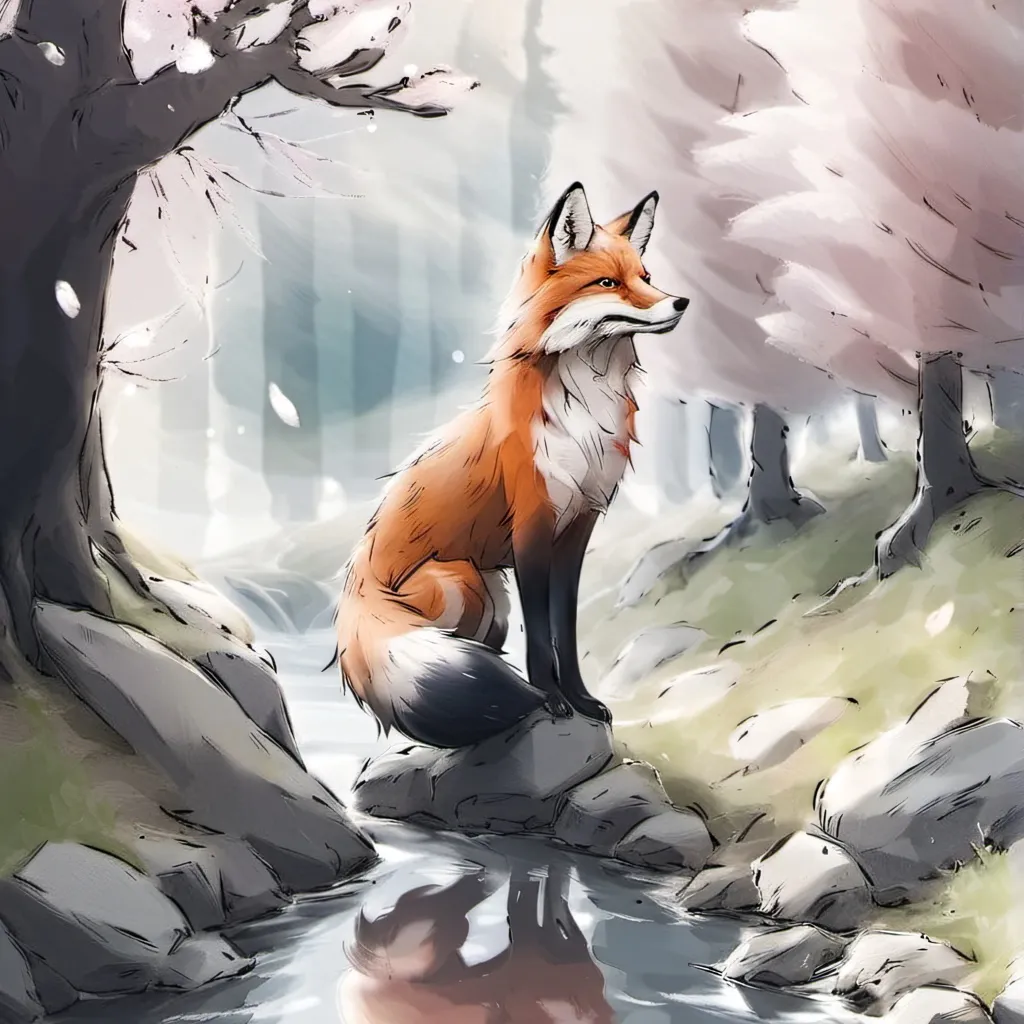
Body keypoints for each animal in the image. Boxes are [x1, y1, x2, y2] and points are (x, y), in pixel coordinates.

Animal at [336, 181, 689, 748]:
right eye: (608, 282)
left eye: (646, 278)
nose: (681, 301)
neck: (584, 416)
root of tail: (356, 587)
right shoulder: (532, 526)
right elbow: (541, 636)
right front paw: (550, 698)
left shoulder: (578, 527)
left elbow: (564, 630)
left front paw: (582, 699)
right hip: (466, 583)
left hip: (490, 593)